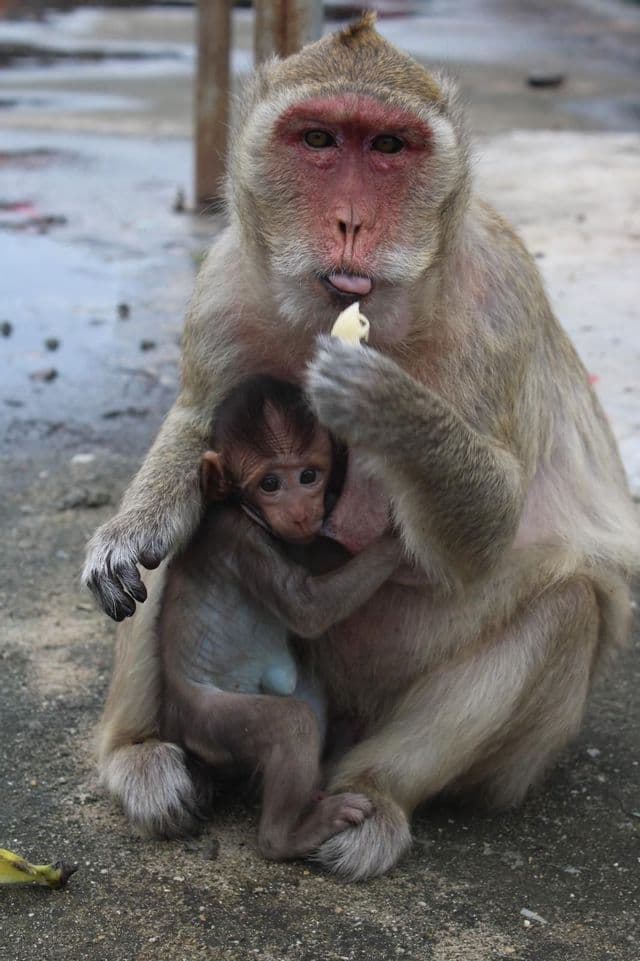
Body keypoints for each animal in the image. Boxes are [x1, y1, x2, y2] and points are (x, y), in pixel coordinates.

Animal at [100, 375, 403, 854]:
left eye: (308, 476)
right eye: (270, 484)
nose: (299, 511)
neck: (242, 510)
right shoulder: (241, 540)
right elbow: (307, 608)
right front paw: (396, 543)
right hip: (211, 719)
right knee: (291, 725)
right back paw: (288, 835)